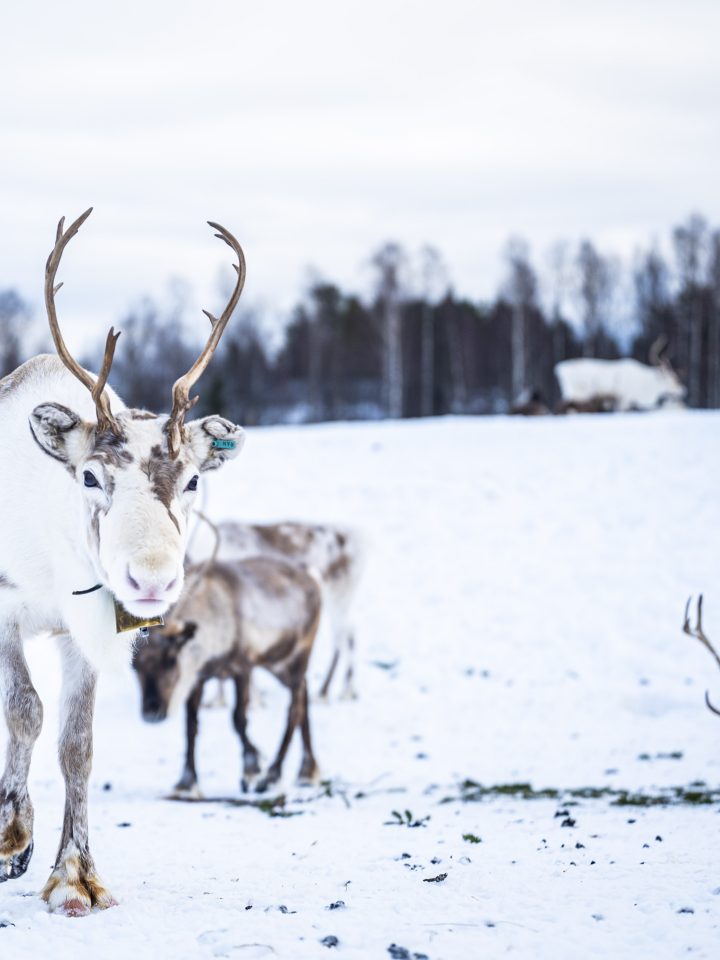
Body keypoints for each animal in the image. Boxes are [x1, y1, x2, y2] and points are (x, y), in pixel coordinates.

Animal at [0, 209, 245, 916]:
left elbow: (76, 743)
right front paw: (13, 835)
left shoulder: (85, 632)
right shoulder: (4, 607)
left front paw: (74, 875)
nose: (152, 579)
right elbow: (25, 710)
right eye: (89, 475)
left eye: (193, 480)